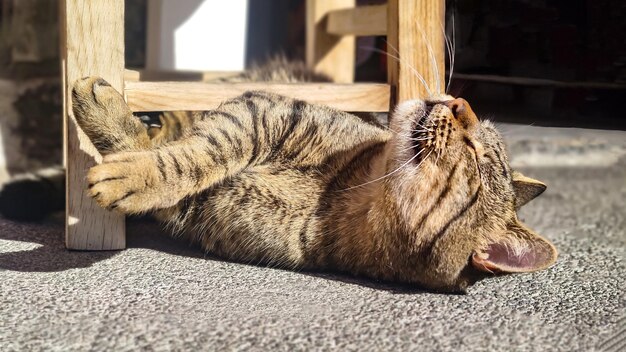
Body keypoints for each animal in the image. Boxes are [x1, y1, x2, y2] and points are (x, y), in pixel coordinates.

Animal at [64, 71, 556, 292]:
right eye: (475, 126)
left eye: (477, 155)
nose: (459, 101)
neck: (340, 194)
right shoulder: (262, 109)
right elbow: (203, 149)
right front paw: (123, 134)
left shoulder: (201, 208)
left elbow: (181, 162)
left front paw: (127, 170)